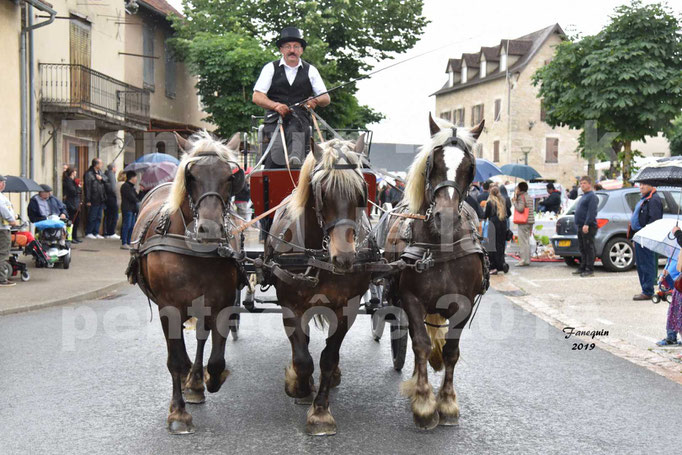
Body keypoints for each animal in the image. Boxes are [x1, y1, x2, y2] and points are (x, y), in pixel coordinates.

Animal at [126, 131, 246, 434]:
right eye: (191, 176)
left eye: (230, 177)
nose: (210, 229)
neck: (196, 251)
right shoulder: (168, 307)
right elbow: (176, 360)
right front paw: (178, 413)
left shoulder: (221, 304)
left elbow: (216, 359)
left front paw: (210, 379)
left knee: (202, 339)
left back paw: (195, 382)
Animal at [262, 137, 372, 436]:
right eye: (322, 192)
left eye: (362, 193)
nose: (344, 257)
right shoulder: (290, 305)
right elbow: (303, 358)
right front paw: (299, 386)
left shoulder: (348, 308)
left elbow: (328, 357)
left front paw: (321, 411)